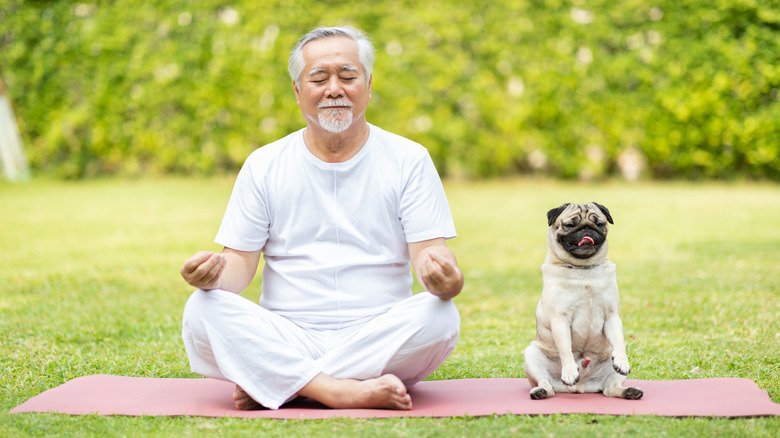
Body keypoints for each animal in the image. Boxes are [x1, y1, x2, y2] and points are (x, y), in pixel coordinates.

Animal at [524, 203, 640, 400]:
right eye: (571, 225)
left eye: (599, 224)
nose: (587, 228)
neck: (583, 270)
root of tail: (581, 387)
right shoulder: (560, 319)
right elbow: (565, 348)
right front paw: (570, 371)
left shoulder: (612, 316)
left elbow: (619, 341)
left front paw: (622, 360)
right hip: (531, 355)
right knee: (546, 384)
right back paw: (541, 391)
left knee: (610, 389)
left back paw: (630, 392)